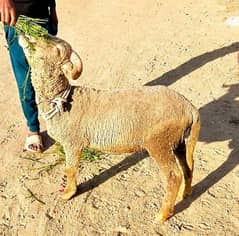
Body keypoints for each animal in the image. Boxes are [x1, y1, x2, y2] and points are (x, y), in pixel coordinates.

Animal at [19, 34, 200, 222]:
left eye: (57, 50)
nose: (27, 35)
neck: (63, 100)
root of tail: (190, 109)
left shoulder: (72, 142)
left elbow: (70, 169)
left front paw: (68, 194)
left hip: (160, 143)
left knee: (174, 176)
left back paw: (162, 215)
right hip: (178, 141)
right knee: (188, 166)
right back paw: (185, 193)